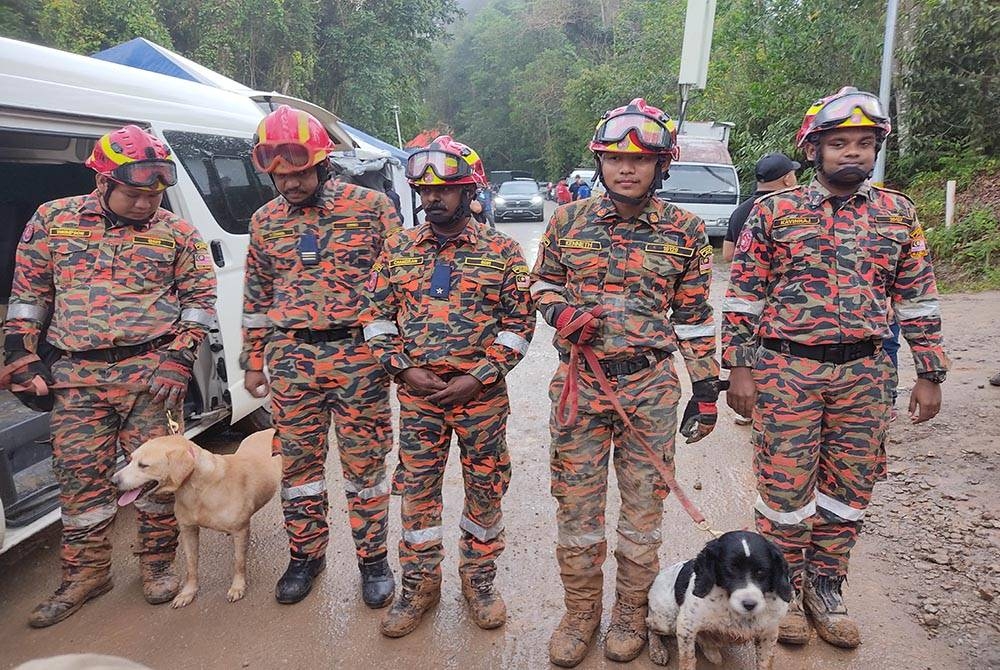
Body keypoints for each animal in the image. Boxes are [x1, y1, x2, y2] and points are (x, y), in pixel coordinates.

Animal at [113, 430, 282, 608]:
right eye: (130, 460)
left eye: (143, 465)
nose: (113, 480)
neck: (198, 489)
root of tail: (269, 430)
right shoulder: (188, 530)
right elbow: (191, 565)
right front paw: (188, 592)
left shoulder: (240, 530)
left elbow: (239, 561)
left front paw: (237, 587)